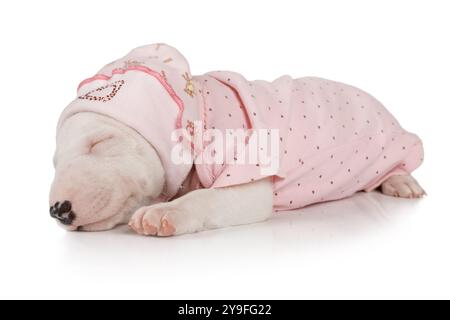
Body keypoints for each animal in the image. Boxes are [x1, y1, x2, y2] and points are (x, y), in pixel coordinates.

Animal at [49, 43, 426, 236]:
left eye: (100, 143)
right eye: (55, 162)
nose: (57, 209)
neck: (198, 111)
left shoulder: (248, 158)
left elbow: (218, 197)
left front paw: (161, 214)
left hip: (388, 140)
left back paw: (402, 183)